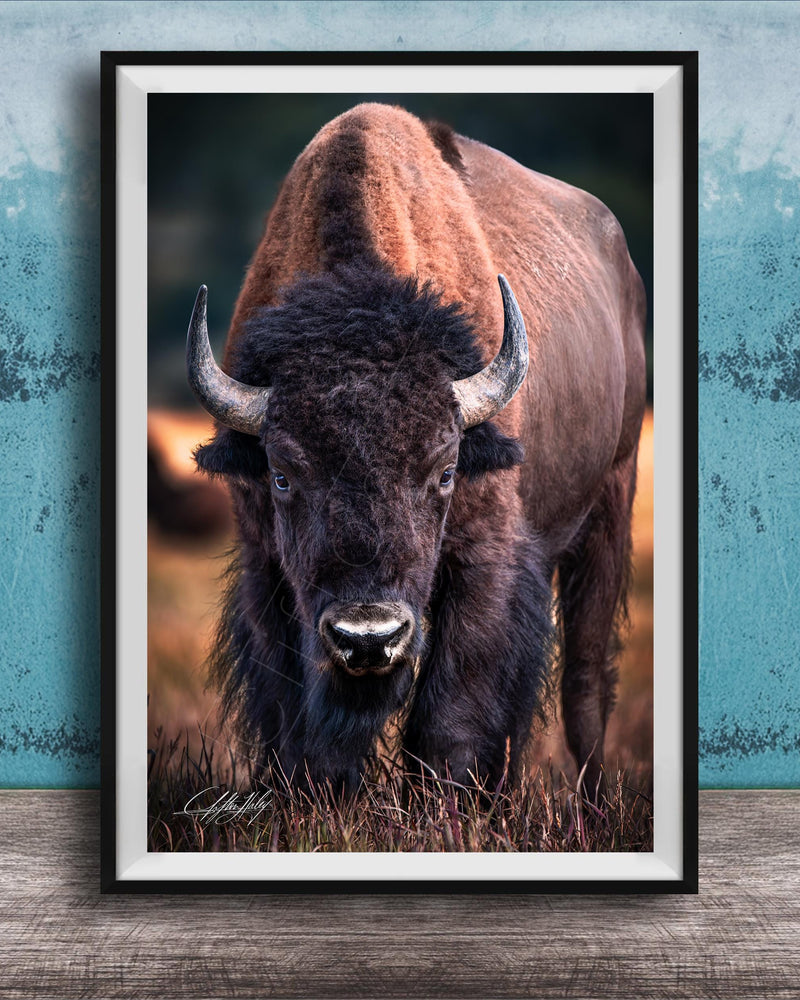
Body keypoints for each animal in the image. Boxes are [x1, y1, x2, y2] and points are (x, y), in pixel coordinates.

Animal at [187, 104, 646, 796]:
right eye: (282, 475)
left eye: (446, 471)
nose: (367, 636)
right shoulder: (265, 564)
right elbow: (294, 717)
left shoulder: (484, 560)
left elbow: (450, 718)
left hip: (611, 502)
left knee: (584, 685)